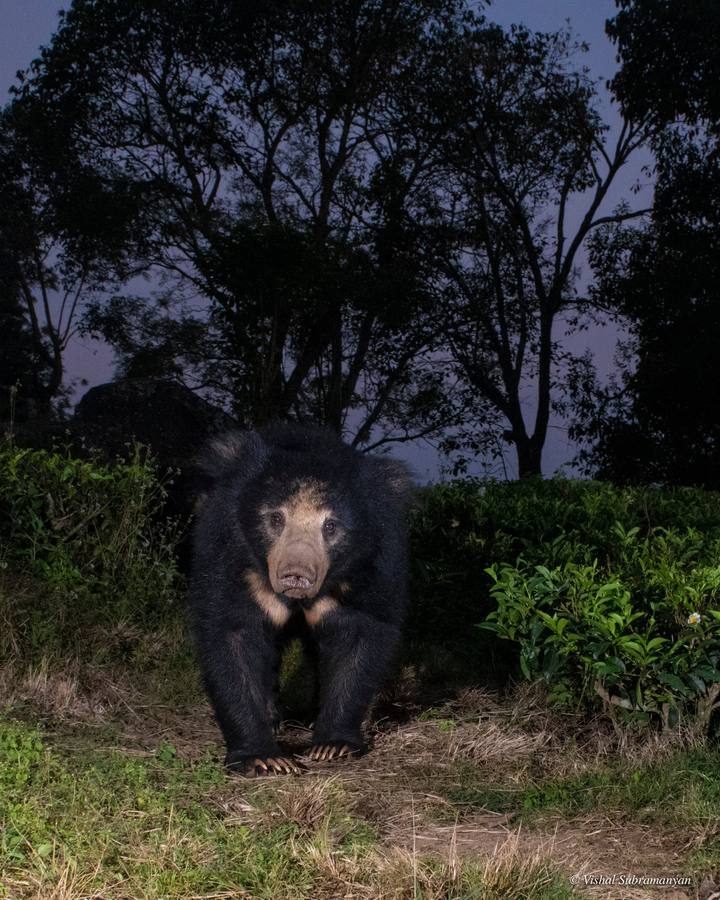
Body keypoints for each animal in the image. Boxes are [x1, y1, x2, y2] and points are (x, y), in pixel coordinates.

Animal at [189, 422, 413, 776]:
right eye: (275, 519)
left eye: (331, 526)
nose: (296, 574)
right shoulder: (226, 550)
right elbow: (233, 633)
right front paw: (264, 757)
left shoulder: (376, 562)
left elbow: (359, 633)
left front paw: (332, 746)